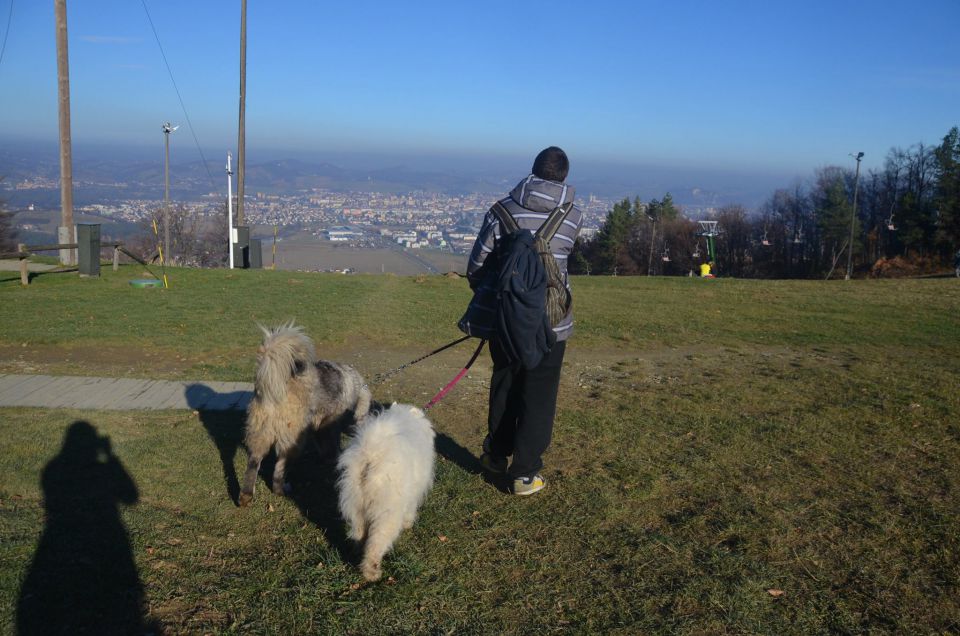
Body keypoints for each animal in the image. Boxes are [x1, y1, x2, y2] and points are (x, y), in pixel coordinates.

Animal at [338, 402, 436, 580]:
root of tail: (371, 456)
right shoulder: (412, 496)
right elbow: (410, 511)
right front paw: (408, 524)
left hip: (356, 506)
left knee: (359, 535)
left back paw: (357, 555)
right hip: (386, 513)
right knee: (376, 544)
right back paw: (372, 573)